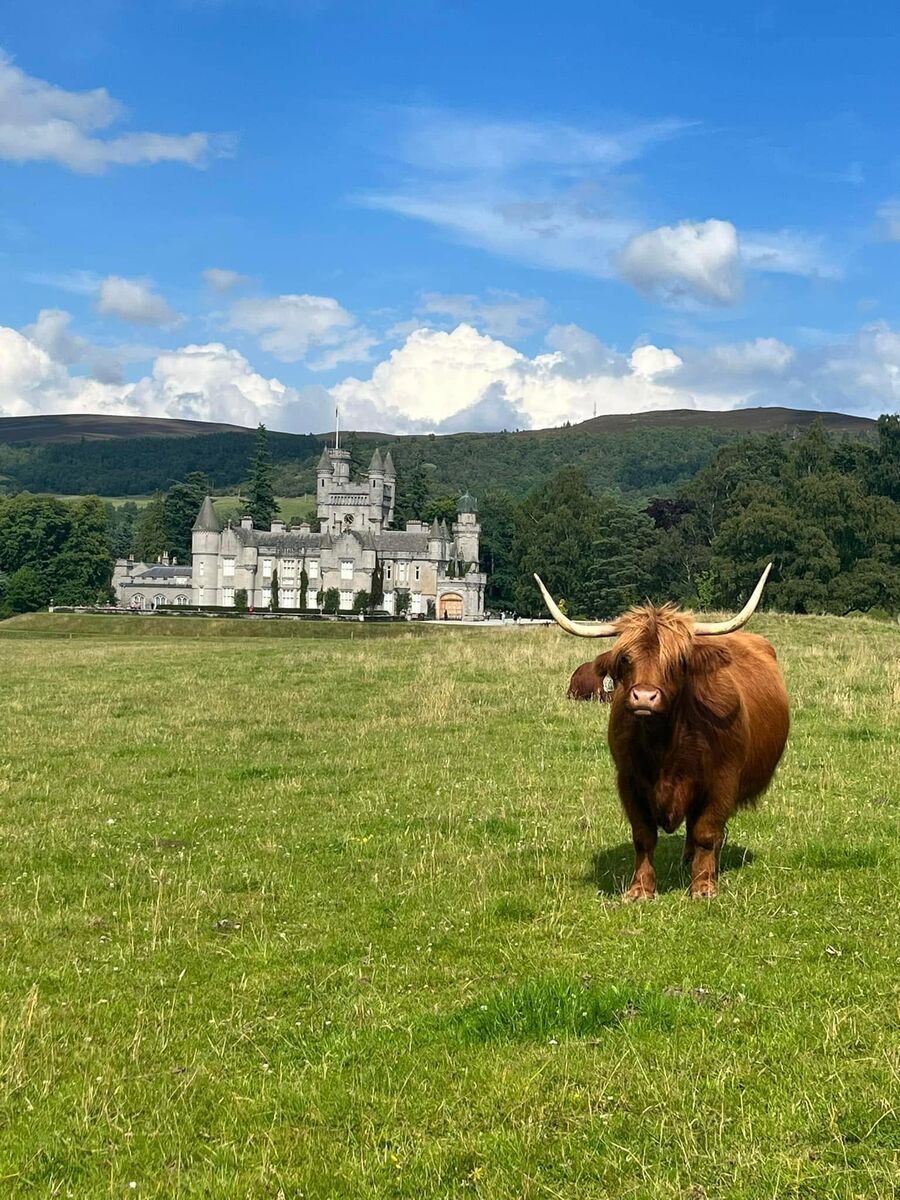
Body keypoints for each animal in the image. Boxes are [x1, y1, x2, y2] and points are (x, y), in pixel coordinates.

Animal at [535, 565, 789, 901]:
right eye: (625, 659)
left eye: (678, 660)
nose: (644, 697)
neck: (665, 746)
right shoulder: (629, 781)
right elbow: (643, 837)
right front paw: (640, 889)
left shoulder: (722, 781)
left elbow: (707, 832)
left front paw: (704, 886)